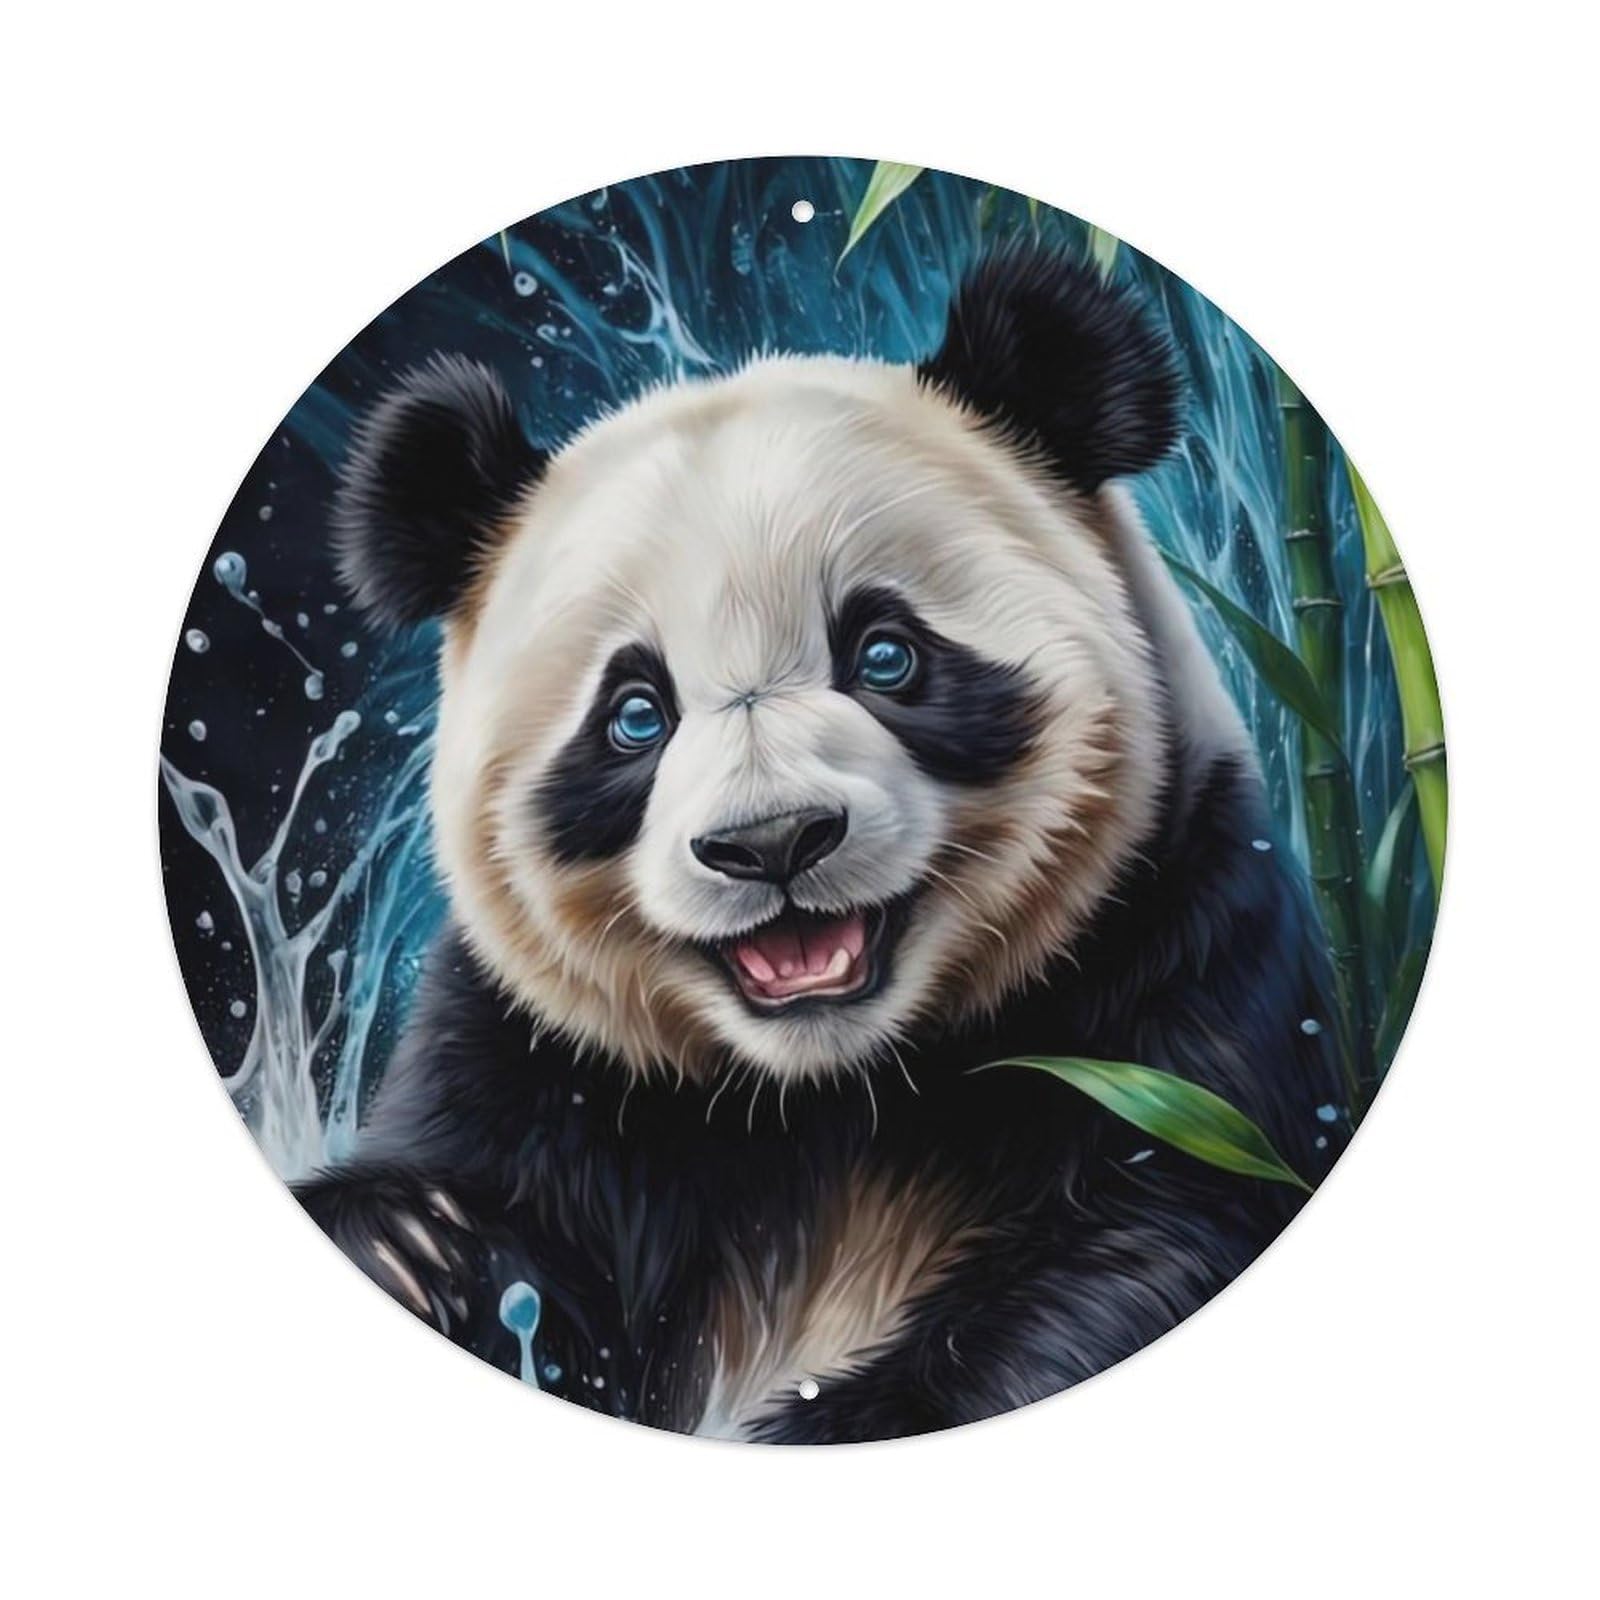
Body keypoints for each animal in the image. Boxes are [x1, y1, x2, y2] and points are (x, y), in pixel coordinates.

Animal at [297, 244, 1345, 1442]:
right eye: (634, 714)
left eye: (886, 654)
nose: (773, 841)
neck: (830, 1093)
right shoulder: (538, 1053)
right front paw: (413, 1246)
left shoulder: (1179, 946)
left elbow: (1147, 1237)